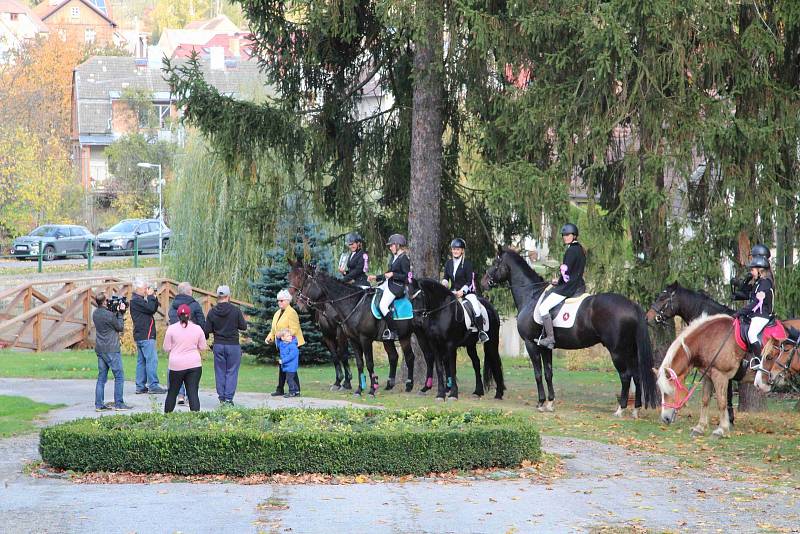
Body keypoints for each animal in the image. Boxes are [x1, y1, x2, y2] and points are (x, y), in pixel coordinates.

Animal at [290, 264, 422, 398]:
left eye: (306, 284)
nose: (299, 303)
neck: (354, 305)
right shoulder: (352, 339)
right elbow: (359, 363)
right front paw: (359, 389)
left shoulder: (364, 339)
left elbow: (368, 363)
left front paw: (371, 390)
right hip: (391, 339)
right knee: (395, 356)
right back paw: (391, 385)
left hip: (408, 335)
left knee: (410, 357)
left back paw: (409, 385)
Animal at [482, 249, 656, 416]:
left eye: (496, 263)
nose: (483, 282)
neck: (531, 296)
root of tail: (632, 305)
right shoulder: (545, 347)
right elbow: (548, 373)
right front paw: (550, 403)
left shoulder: (530, 344)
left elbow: (538, 374)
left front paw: (540, 403)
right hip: (631, 350)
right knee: (637, 376)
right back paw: (636, 409)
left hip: (617, 352)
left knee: (626, 376)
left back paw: (620, 409)